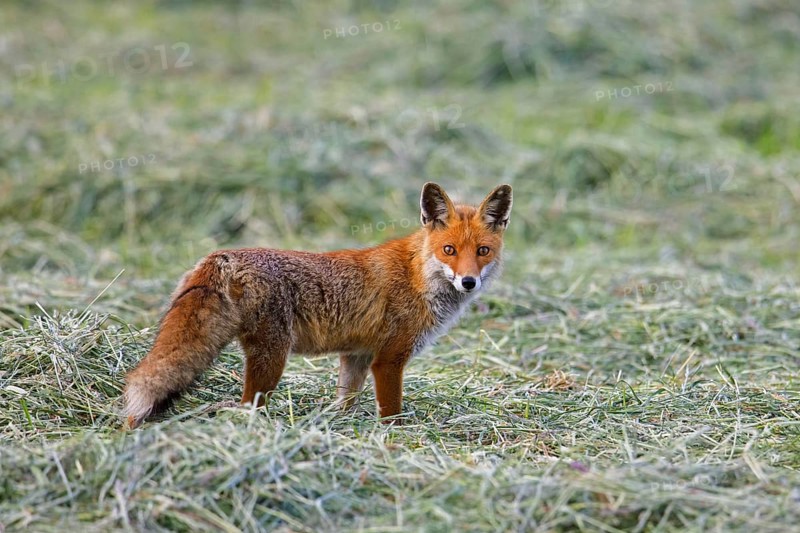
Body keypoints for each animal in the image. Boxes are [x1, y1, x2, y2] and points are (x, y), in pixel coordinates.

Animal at [123, 182, 512, 428]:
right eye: (449, 250)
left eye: (482, 251)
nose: (468, 282)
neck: (419, 276)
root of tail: (222, 256)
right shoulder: (388, 360)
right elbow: (391, 411)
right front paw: (397, 440)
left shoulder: (357, 357)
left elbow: (345, 401)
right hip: (272, 359)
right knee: (249, 404)